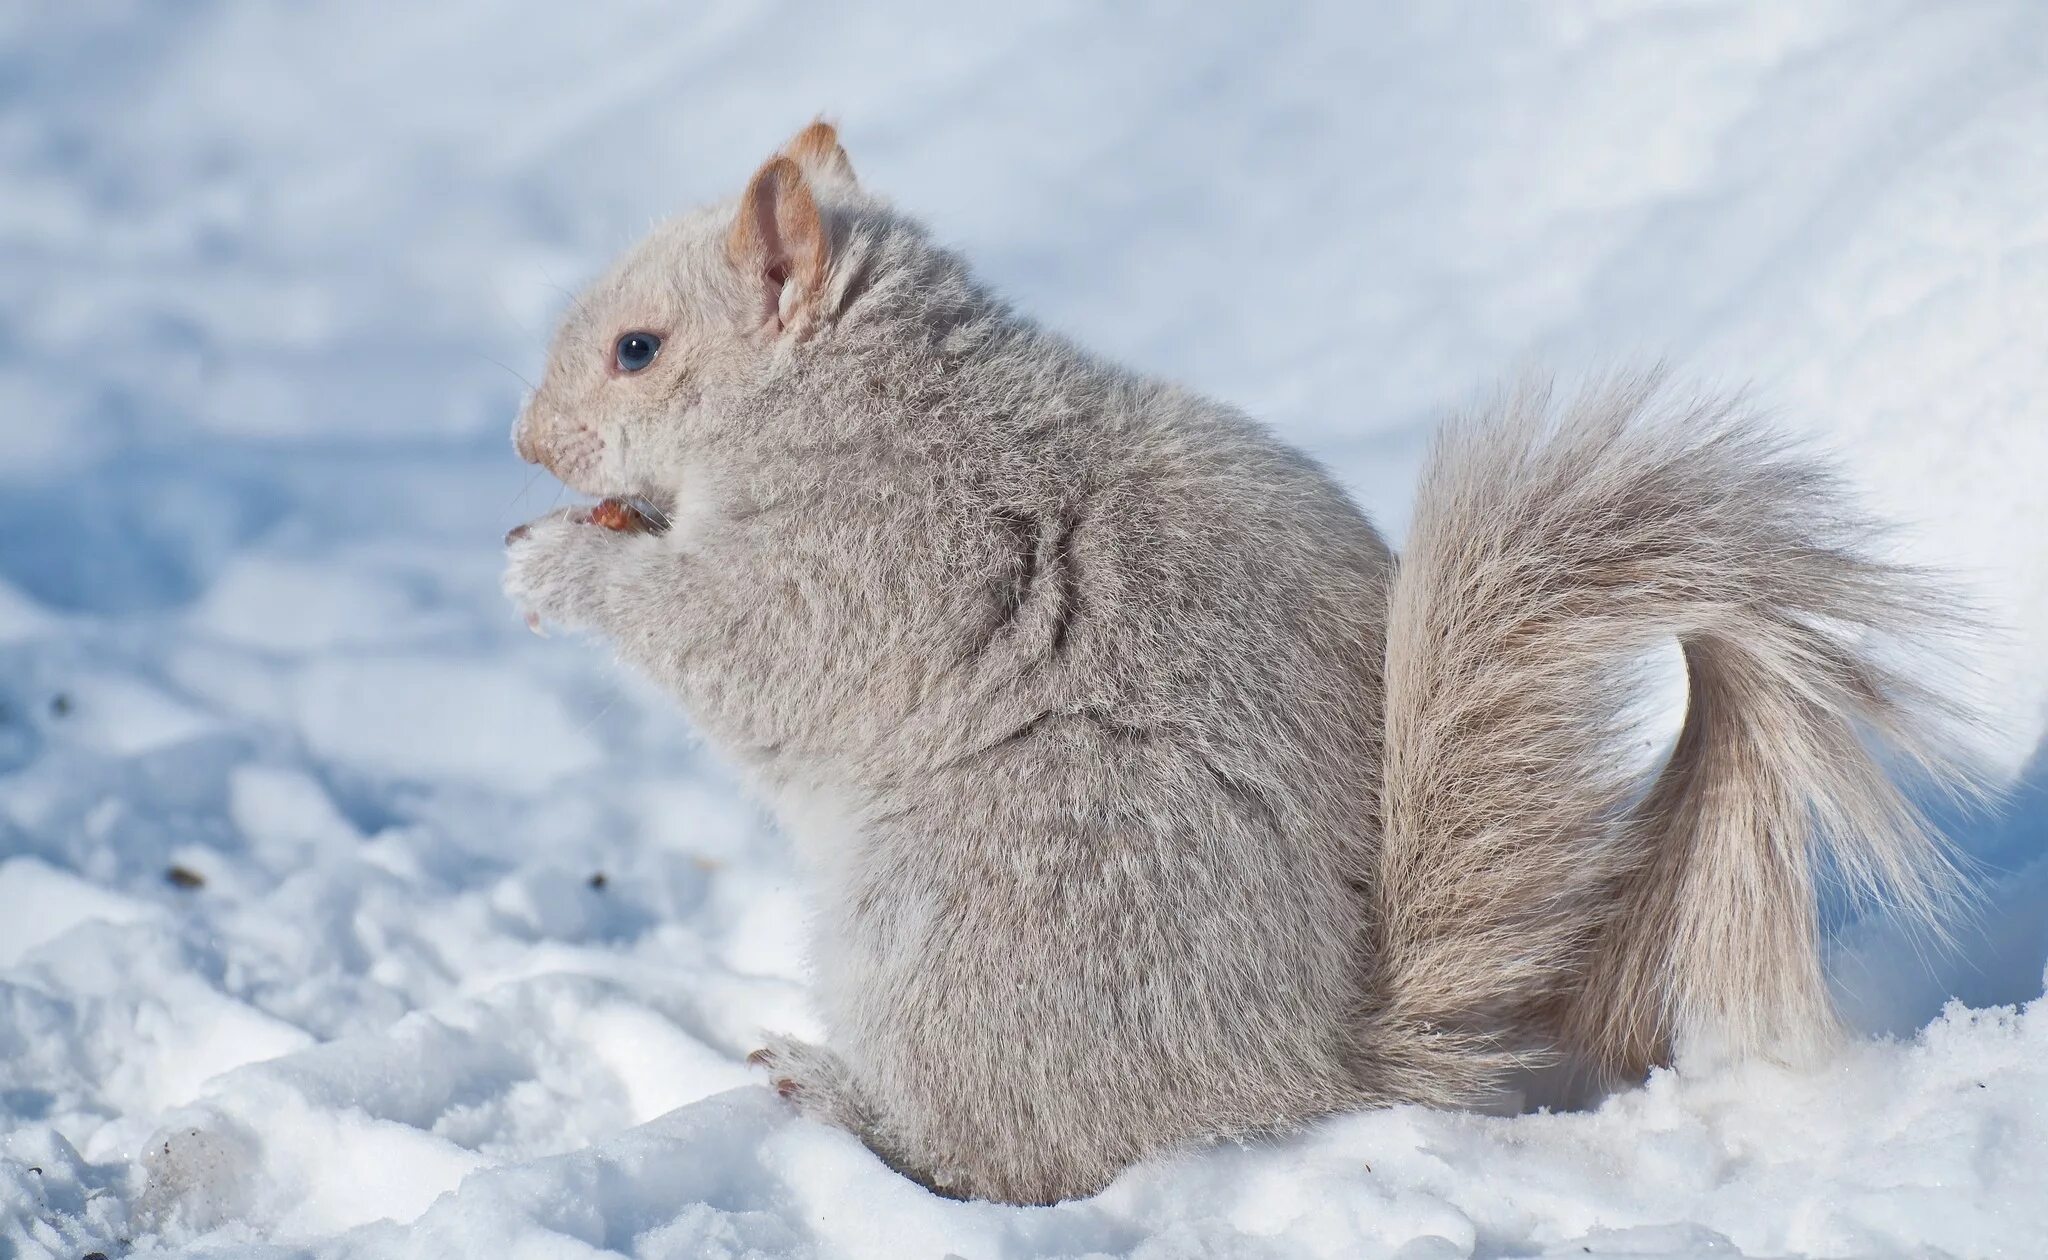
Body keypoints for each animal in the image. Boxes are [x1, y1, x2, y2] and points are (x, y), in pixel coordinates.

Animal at [499, 123, 1982, 1204]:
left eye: (639, 349)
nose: (523, 446)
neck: (859, 402)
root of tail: (1318, 1062)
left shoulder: (883, 556)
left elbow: (743, 642)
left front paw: (552, 567)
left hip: (993, 906)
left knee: (1011, 1153)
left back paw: (843, 1096)